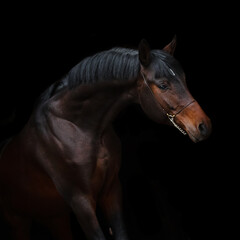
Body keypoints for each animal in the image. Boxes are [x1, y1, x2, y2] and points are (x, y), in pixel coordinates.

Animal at [0, 36, 211, 240]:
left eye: (184, 79)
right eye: (163, 85)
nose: (204, 126)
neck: (79, 126)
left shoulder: (111, 190)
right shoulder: (80, 201)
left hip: (56, 218)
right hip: (18, 222)